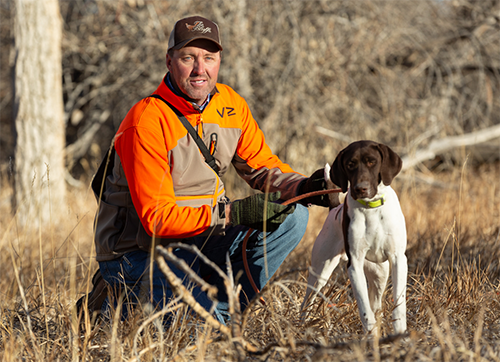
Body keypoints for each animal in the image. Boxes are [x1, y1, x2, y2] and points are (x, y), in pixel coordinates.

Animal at [300, 141, 406, 334]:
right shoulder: (354, 264)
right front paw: (370, 334)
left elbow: (399, 305)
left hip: (380, 273)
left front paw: (401, 333)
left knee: (377, 304)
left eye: (372, 161)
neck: (372, 208)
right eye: (350, 164)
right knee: (307, 302)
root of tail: (334, 209)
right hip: (320, 273)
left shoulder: (398, 259)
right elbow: (364, 309)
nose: (360, 188)